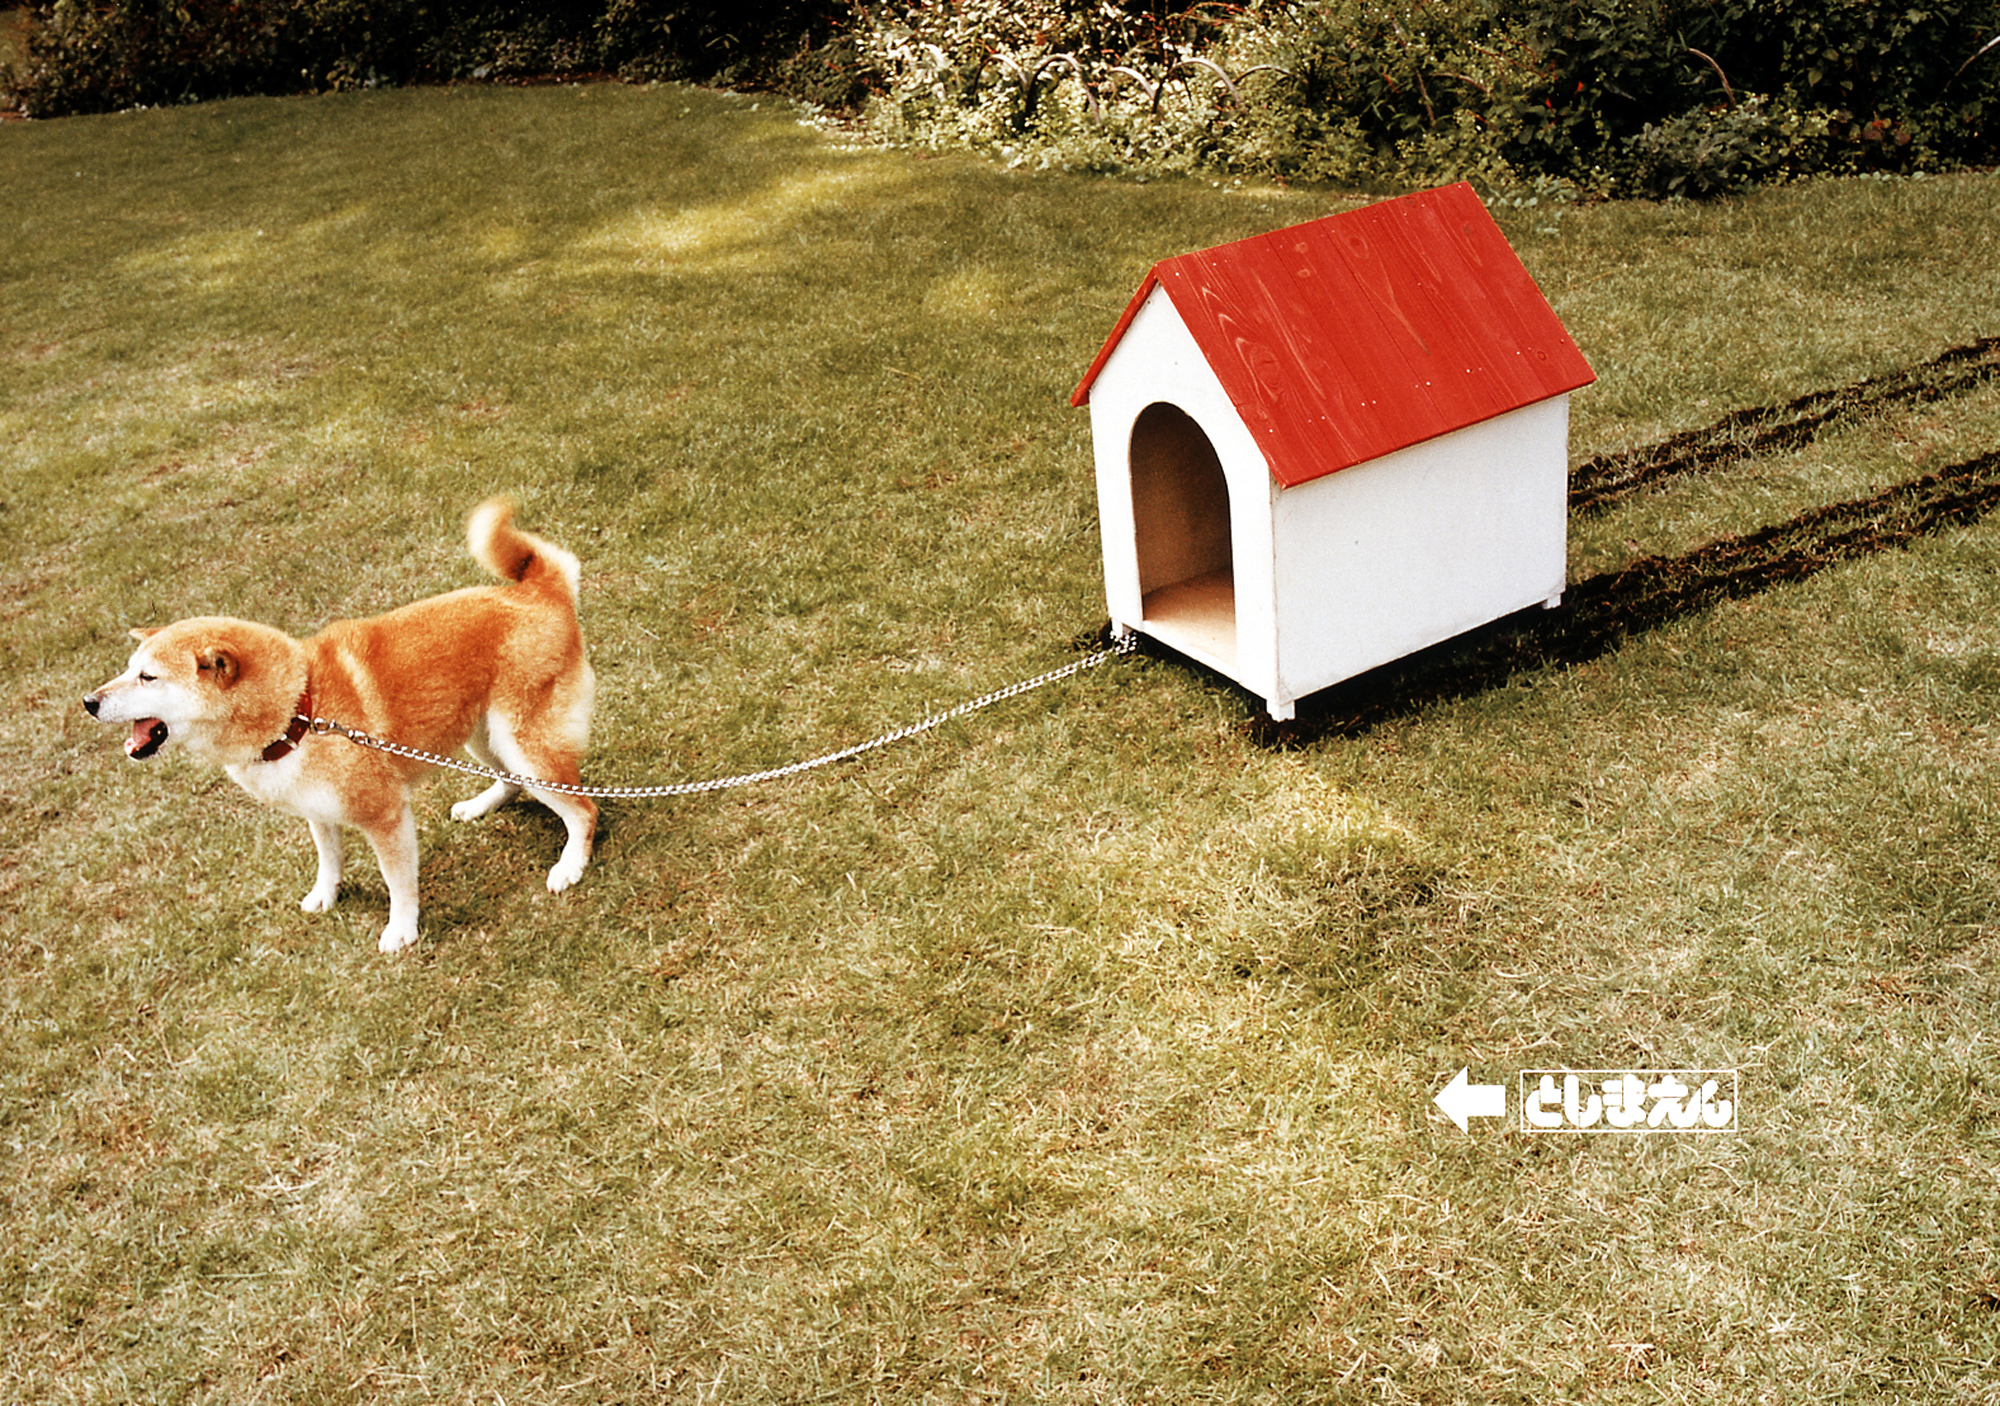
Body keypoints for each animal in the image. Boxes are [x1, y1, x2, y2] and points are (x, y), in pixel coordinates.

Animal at [83, 497, 597, 952]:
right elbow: (328, 861)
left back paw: (570, 865)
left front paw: (401, 931)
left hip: (520, 741)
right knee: (512, 782)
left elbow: (397, 882)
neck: (300, 711)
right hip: (481, 736)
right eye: (127, 669)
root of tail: (539, 590)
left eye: (148, 677)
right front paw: (325, 896)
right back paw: (480, 805)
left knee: (583, 809)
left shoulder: (385, 816)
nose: (88, 702)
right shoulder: (318, 809)